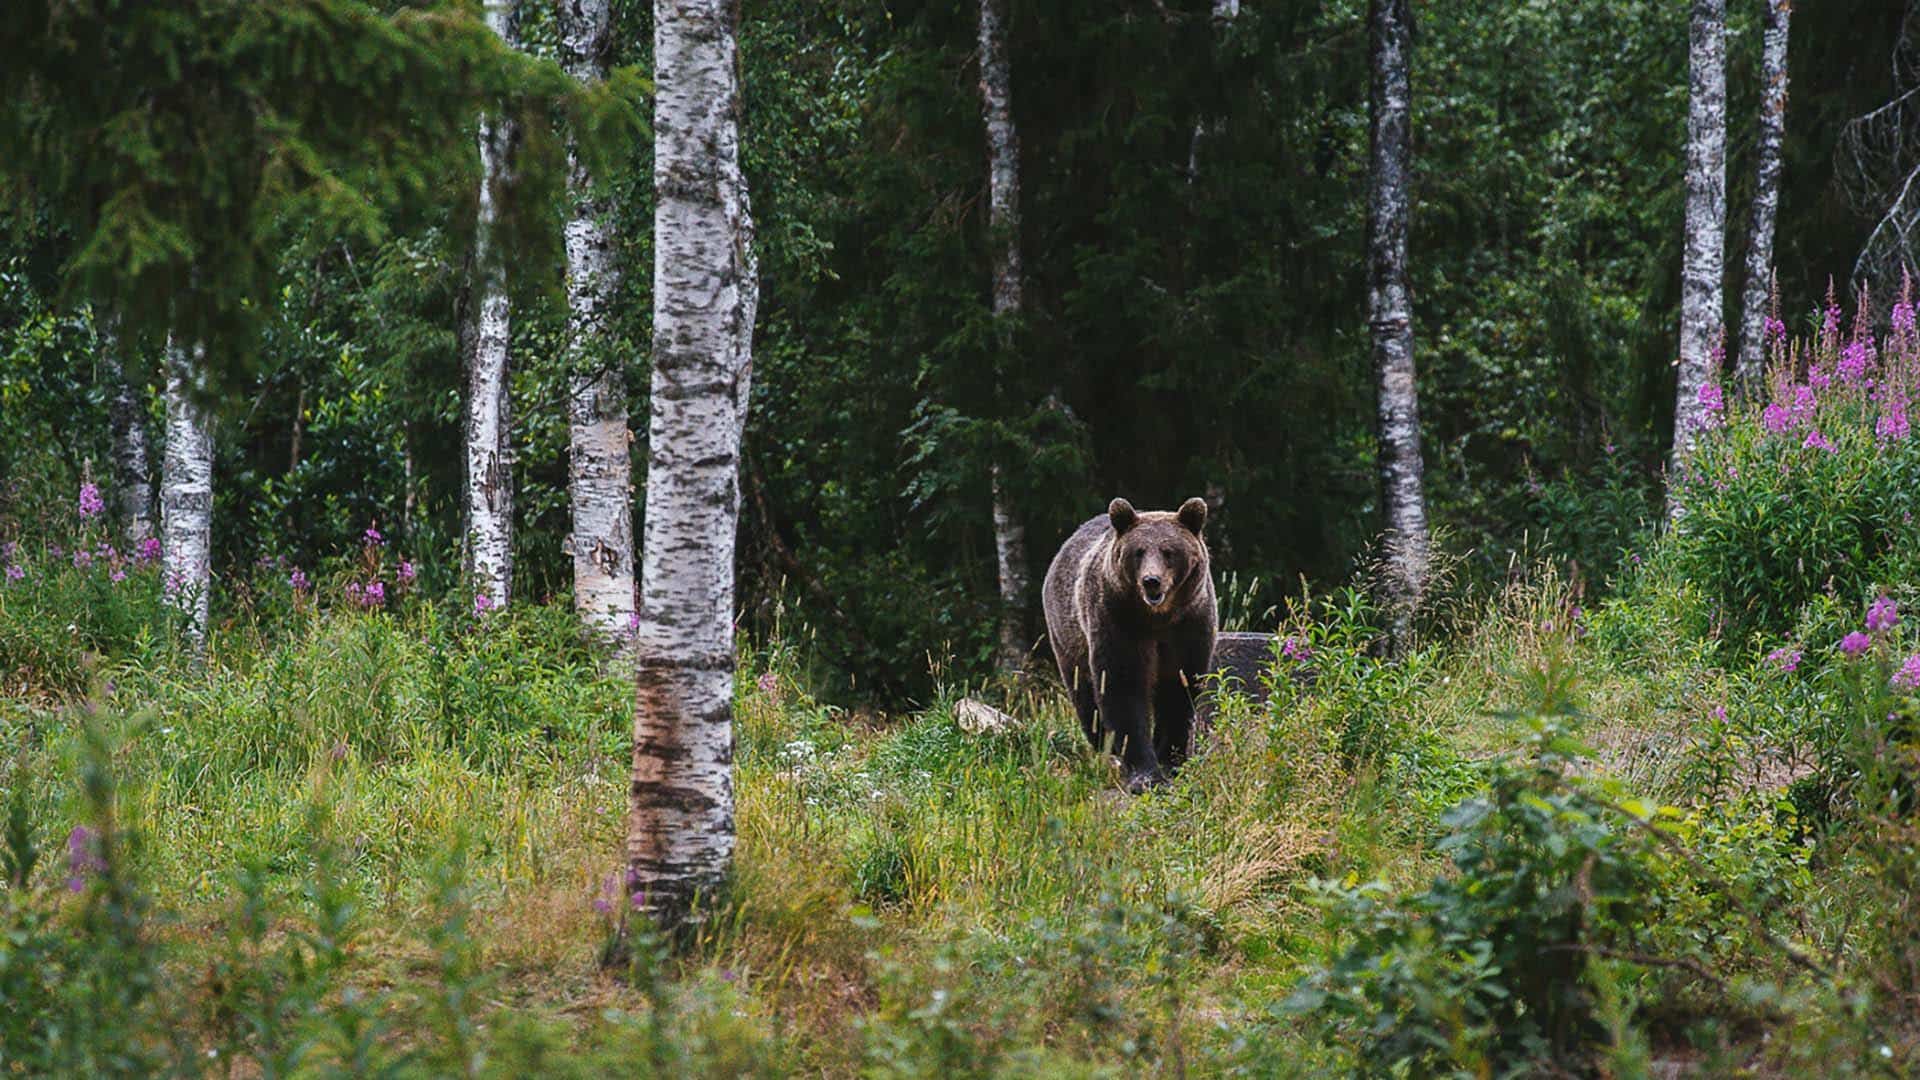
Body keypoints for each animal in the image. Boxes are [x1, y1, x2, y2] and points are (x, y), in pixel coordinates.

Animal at [1042, 496, 1218, 791]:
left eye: (1169, 551)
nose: (1151, 581)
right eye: (1139, 551)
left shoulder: (1189, 624)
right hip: (1068, 634)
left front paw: (1170, 760)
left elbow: (1179, 686)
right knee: (1085, 696)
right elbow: (1123, 686)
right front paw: (1145, 774)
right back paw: (1107, 750)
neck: (1158, 617)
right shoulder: (1118, 619)